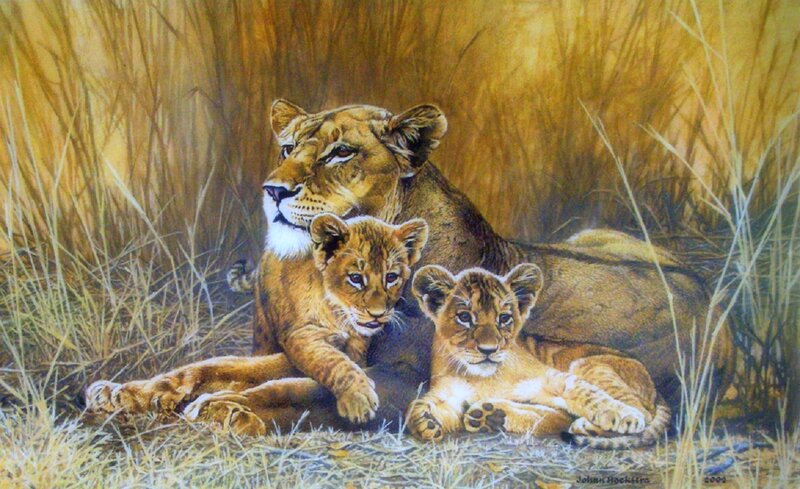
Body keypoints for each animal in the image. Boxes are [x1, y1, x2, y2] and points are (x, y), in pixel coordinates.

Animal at [85, 213, 428, 430]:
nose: (378, 313)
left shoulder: (345, 352)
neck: (340, 315)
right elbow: (331, 364)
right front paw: (358, 399)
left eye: (392, 277)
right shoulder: (301, 339)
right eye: (356, 278)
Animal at [406, 264, 670, 449]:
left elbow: (587, 394)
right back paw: (491, 416)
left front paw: (623, 416)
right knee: (556, 417)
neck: (483, 377)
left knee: (643, 411)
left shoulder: (551, 377)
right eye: (464, 317)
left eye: (504, 318)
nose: (489, 350)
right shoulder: (449, 395)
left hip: (587, 363)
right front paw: (424, 421)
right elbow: (418, 404)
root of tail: (655, 387)